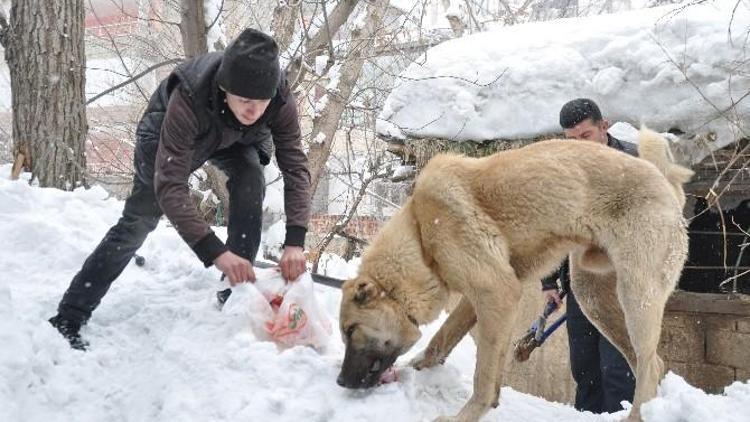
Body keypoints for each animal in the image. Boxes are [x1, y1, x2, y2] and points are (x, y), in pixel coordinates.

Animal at [338, 129, 696, 422]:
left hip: (636, 296)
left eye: (352, 330)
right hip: (594, 296)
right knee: (648, 363)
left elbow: (483, 373)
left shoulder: (496, 293)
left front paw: (466, 415)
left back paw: (636, 417)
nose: (341, 382)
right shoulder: (483, 299)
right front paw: (420, 366)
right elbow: (445, 338)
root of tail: (666, 181)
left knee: (650, 365)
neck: (421, 233)